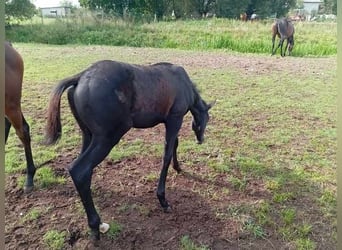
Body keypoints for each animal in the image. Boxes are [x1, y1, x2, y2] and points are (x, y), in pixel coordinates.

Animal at [44, 59, 212, 242]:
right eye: (207, 119)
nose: (201, 139)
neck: (184, 84)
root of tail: (81, 76)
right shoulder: (175, 119)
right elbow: (167, 154)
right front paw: (162, 198)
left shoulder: (170, 122)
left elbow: (175, 144)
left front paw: (178, 167)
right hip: (107, 138)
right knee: (79, 169)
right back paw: (95, 225)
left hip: (88, 134)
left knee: (82, 170)